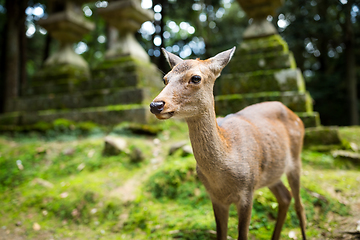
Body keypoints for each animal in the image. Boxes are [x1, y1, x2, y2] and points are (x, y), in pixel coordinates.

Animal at [149, 47, 306, 240]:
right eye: (165, 79)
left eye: (196, 78)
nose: (156, 105)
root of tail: (295, 115)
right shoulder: (215, 198)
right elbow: (221, 234)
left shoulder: (247, 191)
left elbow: (243, 235)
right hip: (272, 172)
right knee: (285, 197)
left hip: (296, 159)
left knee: (299, 205)